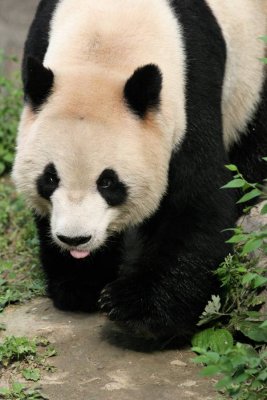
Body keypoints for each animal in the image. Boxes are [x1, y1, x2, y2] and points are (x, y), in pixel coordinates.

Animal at [12, 0, 267, 344]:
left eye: (108, 182)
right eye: (50, 178)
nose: (75, 239)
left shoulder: (191, 89)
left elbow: (200, 199)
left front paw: (136, 310)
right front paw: (79, 283)